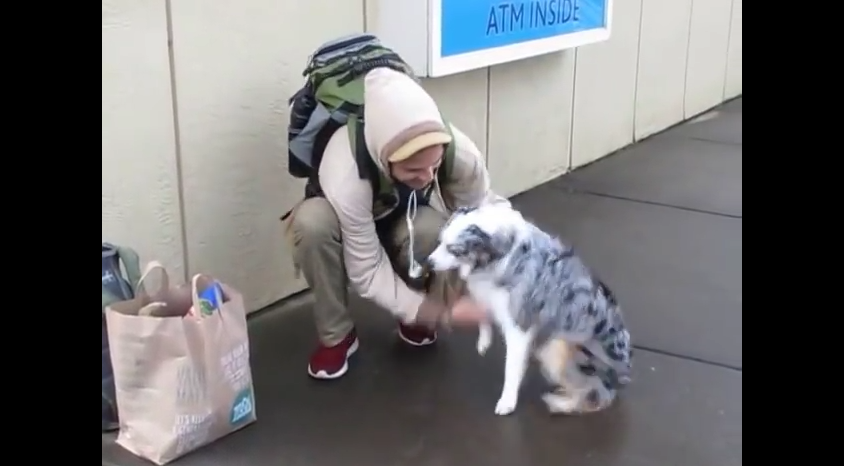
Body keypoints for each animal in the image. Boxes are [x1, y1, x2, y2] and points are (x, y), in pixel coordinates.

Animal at [428, 204, 632, 416]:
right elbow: (483, 314)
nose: (428, 262)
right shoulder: (488, 295)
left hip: (557, 351)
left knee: (592, 392)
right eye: (441, 241)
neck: (502, 251)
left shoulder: (518, 327)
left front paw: (507, 401)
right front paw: (484, 340)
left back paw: (561, 403)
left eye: (454, 250)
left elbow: (511, 368)